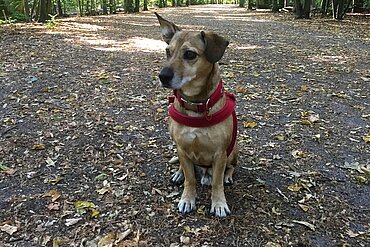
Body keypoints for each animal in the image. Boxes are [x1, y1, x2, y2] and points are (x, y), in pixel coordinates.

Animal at [155, 12, 237, 217]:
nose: (162, 76)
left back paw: (228, 176)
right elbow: (190, 179)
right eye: (168, 52)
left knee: (230, 167)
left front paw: (219, 203)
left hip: (233, 149)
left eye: (190, 54)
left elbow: (216, 183)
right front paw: (187, 199)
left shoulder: (220, 154)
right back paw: (178, 173)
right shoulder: (182, 148)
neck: (196, 105)